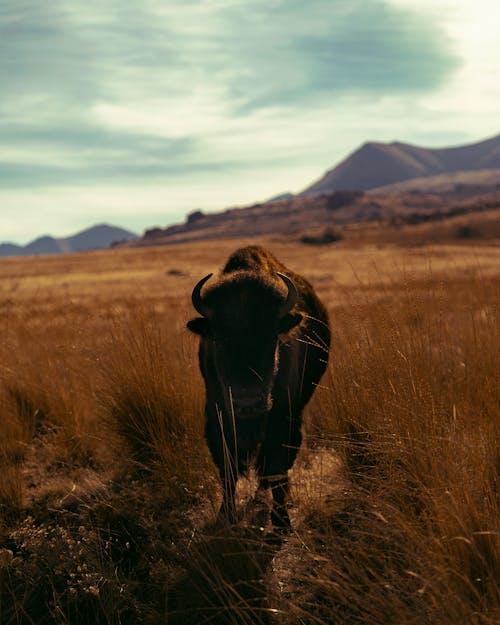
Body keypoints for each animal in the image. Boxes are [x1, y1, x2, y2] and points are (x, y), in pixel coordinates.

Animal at [188, 244, 332, 528]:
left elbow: (276, 467)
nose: (247, 402)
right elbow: (228, 468)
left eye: (271, 337)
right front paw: (226, 515)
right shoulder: (218, 416)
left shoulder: (284, 418)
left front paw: (281, 521)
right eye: (218, 338)